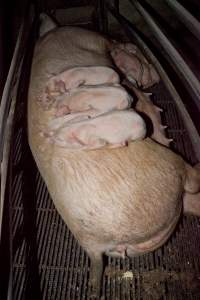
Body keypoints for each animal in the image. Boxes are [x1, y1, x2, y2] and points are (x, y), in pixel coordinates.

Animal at [28, 15, 200, 298]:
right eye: (137, 52)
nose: (153, 78)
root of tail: (93, 247)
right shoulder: (98, 40)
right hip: (169, 171)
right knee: (192, 179)